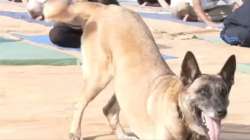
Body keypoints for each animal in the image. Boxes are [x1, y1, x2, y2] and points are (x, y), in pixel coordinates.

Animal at [27, 0, 236, 139]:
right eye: (202, 92)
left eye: (224, 92)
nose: (221, 112)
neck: (180, 113)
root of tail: (106, 7)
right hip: (98, 77)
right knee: (80, 103)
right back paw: (74, 132)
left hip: (123, 84)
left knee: (109, 110)